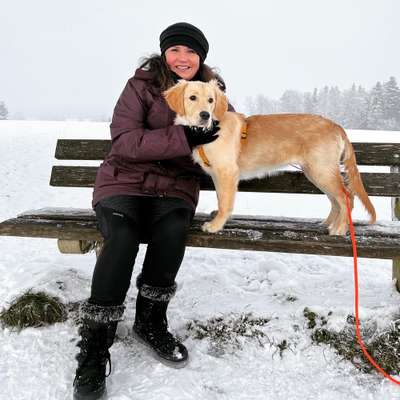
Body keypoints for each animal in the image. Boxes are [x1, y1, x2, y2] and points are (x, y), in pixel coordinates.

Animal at [162, 80, 376, 236]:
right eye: (192, 98)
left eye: (210, 100)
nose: (205, 115)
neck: (207, 131)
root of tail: (336, 125)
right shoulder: (217, 175)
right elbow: (220, 198)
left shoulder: (227, 172)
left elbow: (224, 203)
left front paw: (215, 226)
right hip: (316, 172)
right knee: (336, 201)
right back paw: (328, 223)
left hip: (321, 171)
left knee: (346, 197)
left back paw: (340, 229)